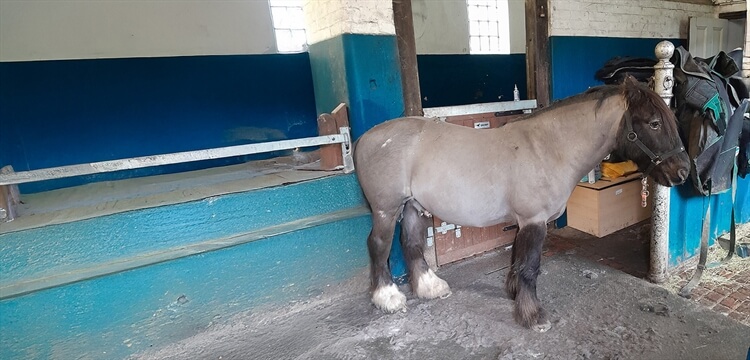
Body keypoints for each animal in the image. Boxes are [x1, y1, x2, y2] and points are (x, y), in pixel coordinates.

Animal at [356, 76, 692, 332]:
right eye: (654, 123)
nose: (683, 172)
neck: (548, 148)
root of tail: (366, 138)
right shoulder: (534, 220)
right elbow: (530, 267)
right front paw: (533, 316)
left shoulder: (523, 221)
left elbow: (517, 260)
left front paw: (515, 294)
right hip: (387, 209)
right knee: (379, 245)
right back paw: (387, 297)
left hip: (412, 206)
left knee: (411, 243)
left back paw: (429, 288)